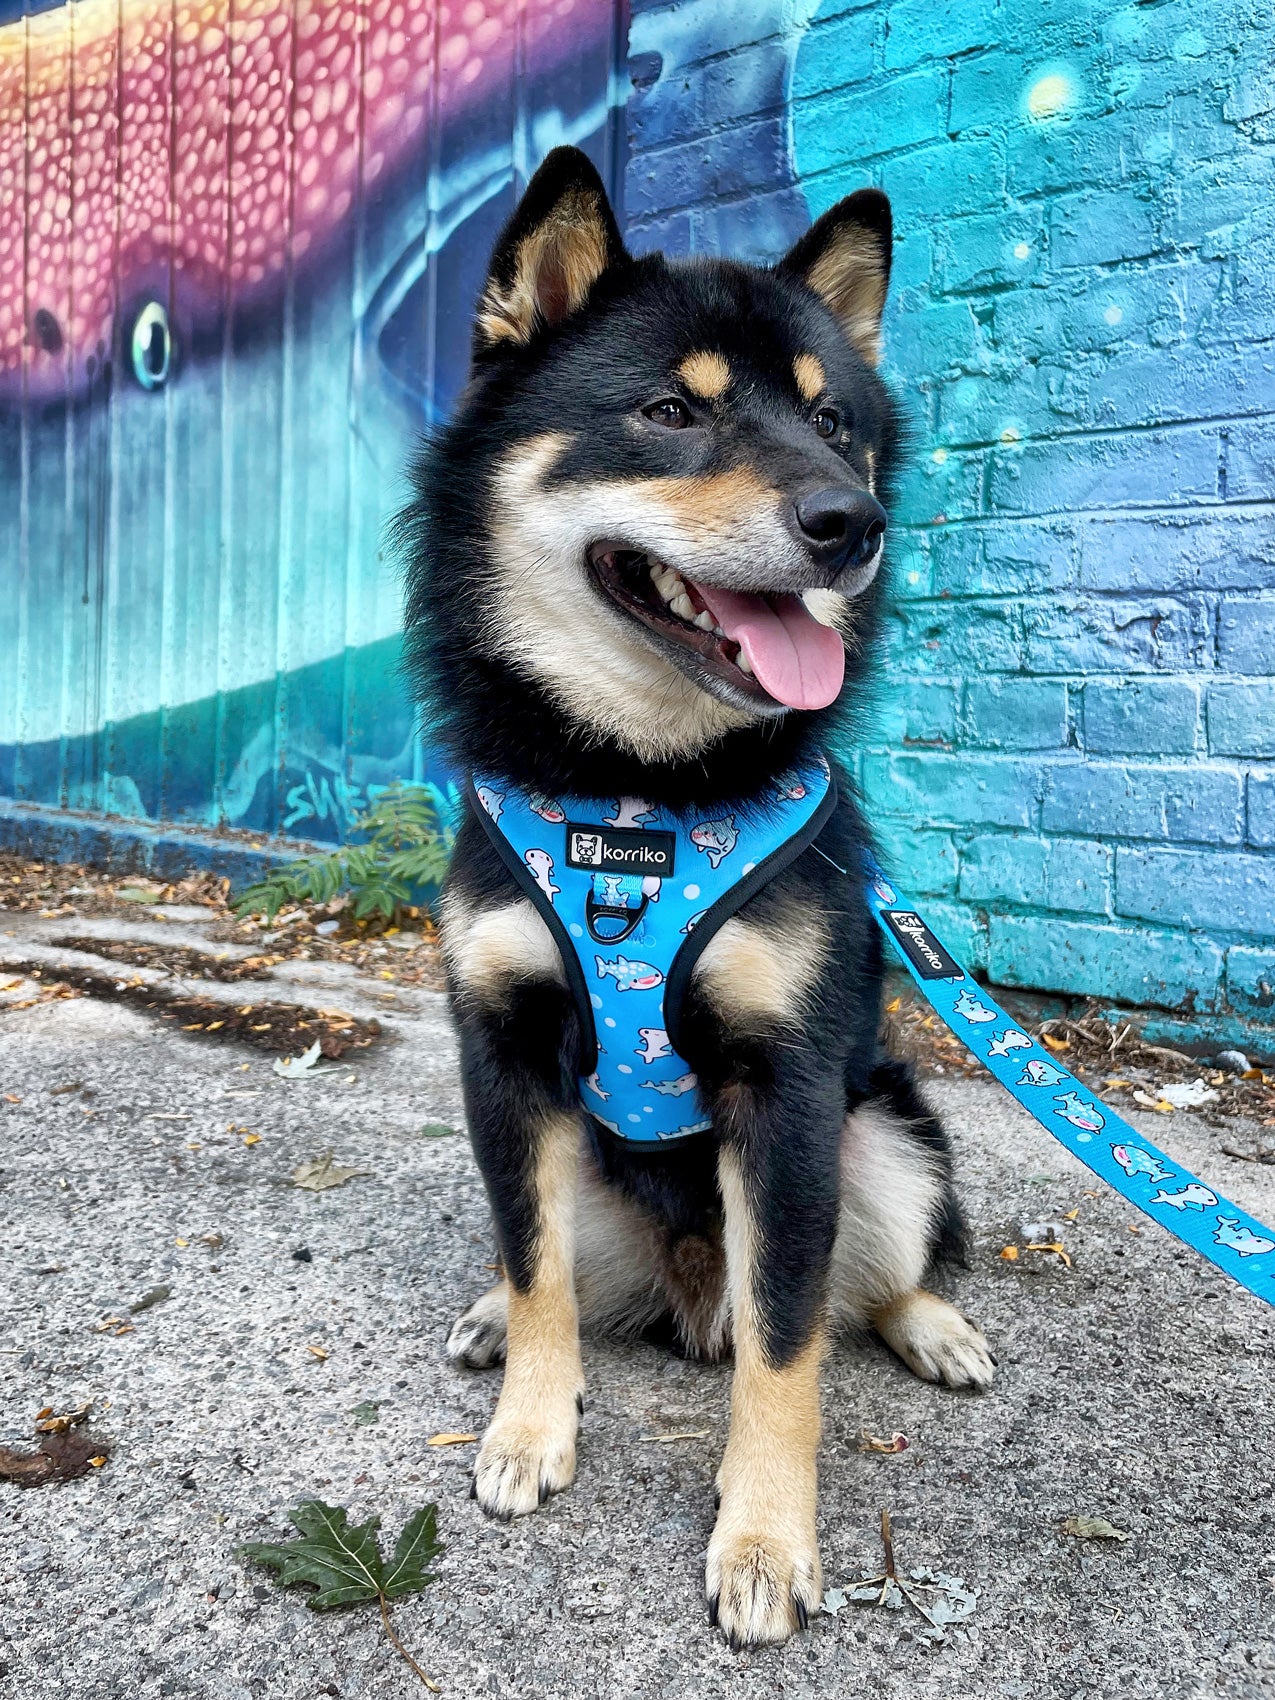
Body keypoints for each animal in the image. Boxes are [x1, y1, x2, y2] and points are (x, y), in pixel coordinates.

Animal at [399, 149, 999, 1645]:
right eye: (670, 411)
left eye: (835, 422)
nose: (852, 525)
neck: (637, 795)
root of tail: (685, 1292)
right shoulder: (503, 1056)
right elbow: (537, 1266)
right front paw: (528, 1428)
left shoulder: (785, 1095)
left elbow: (787, 1345)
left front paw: (765, 1542)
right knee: (553, 1263)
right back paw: (496, 1324)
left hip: (887, 1131)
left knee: (859, 1283)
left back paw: (930, 1323)